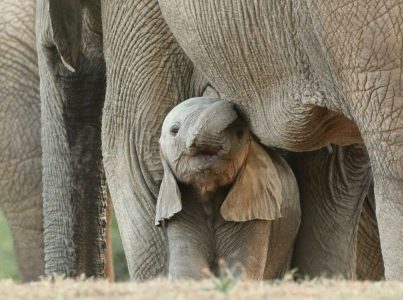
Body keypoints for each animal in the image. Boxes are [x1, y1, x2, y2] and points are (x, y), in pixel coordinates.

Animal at [157, 96, 300, 278]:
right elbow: (187, 270)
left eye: (239, 134)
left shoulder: (255, 211)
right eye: (174, 130)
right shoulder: (180, 212)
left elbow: (241, 268)